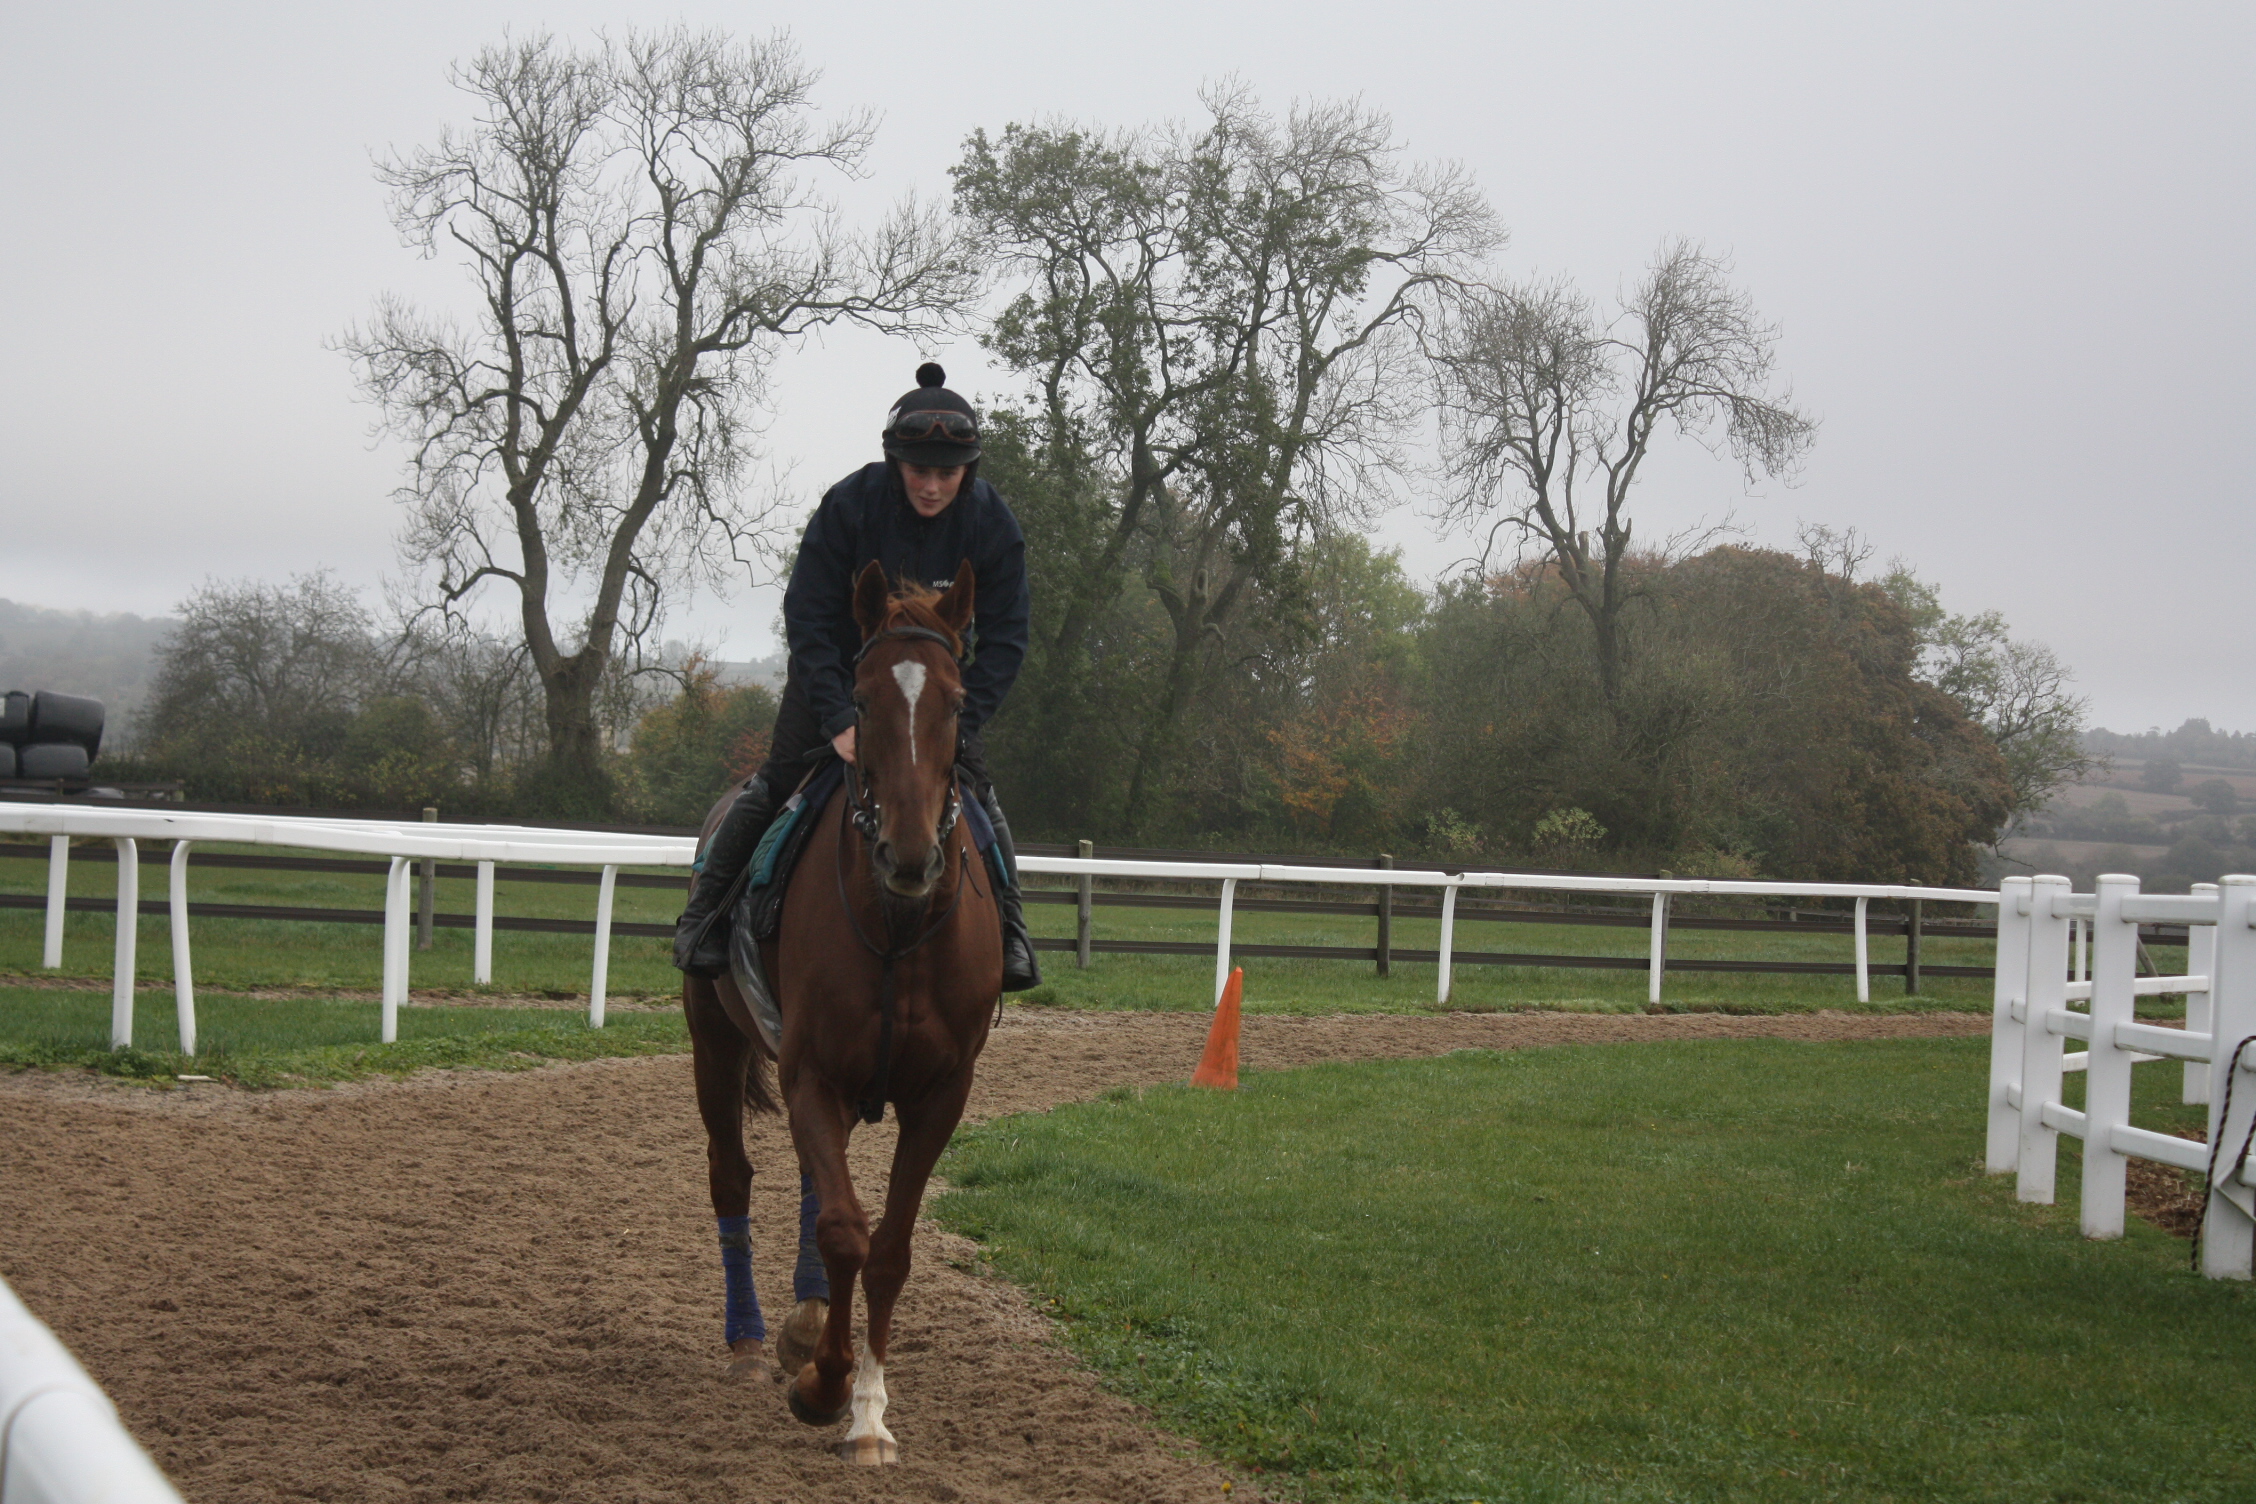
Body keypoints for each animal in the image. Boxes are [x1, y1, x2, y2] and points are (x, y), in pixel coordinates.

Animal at [681, 559, 1001, 1461]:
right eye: (860, 698)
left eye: (955, 702)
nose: (910, 855)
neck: (899, 928)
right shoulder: (812, 1071)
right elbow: (845, 1230)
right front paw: (824, 1387)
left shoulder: (940, 1093)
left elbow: (886, 1246)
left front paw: (870, 1412)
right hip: (715, 1040)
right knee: (733, 1176)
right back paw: (753, 1343)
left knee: (809, 1186)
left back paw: (802, 1323)